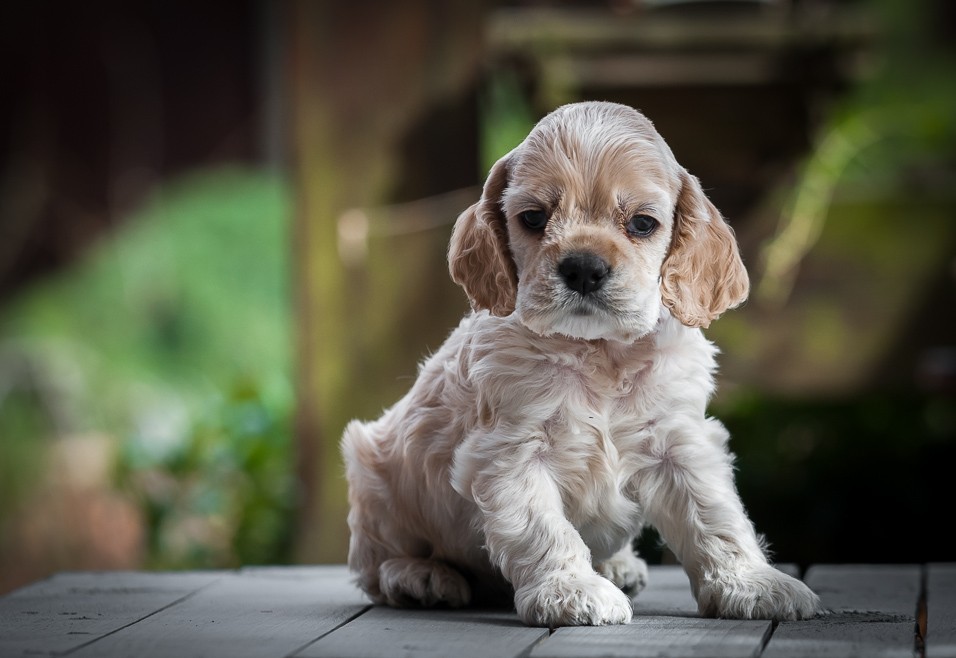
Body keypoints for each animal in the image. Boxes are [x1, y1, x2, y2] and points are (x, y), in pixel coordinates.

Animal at [340, 100, 824, 624]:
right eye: (533, 217)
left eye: (642, 223)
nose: (584, 268)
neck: (599, 351)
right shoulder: (513, 450)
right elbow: (542, 527)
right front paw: (571, 590)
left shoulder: (680, 442)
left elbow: (715, 515)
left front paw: (752, 584)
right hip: (373, 474)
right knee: (374, 565)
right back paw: (421, 577)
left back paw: (617, 565)